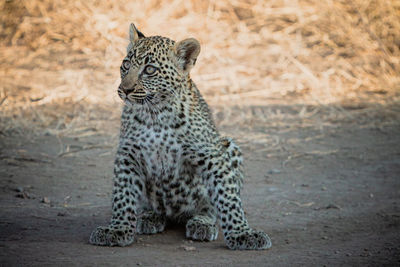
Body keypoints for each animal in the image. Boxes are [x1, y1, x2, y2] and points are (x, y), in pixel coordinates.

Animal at [89, 23, 272, 251]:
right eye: (126, 64)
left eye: (150, 70)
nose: (125, 89)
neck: (155, 113)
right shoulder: (128, 155)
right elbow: (123, 196)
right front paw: (117, 230)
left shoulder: (212, 156)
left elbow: (228, 198)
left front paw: (242, 234)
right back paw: (149, 216)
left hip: (229, 146)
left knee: (209, 207)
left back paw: (202, 223)